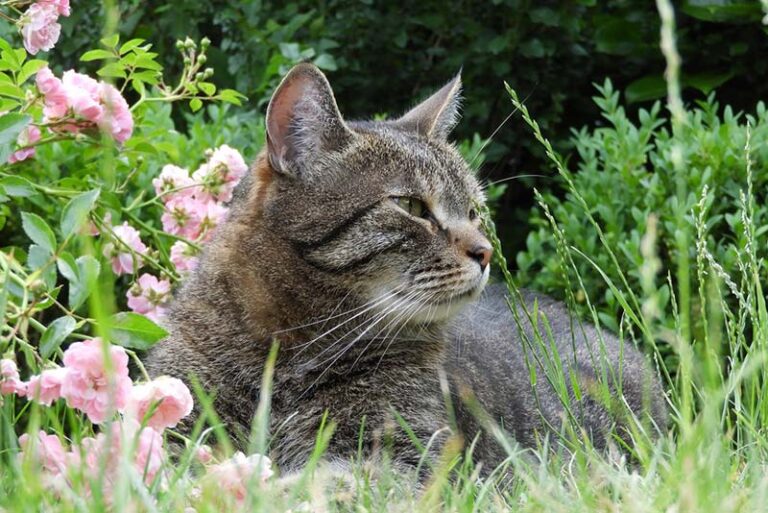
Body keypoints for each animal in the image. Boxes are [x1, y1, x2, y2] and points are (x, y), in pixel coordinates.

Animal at [146, 62, 664, 474]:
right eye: (412, 206)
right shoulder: (177, 424)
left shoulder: (397, 455)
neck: (286, 346)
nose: (486, 252)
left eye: (474, 211)